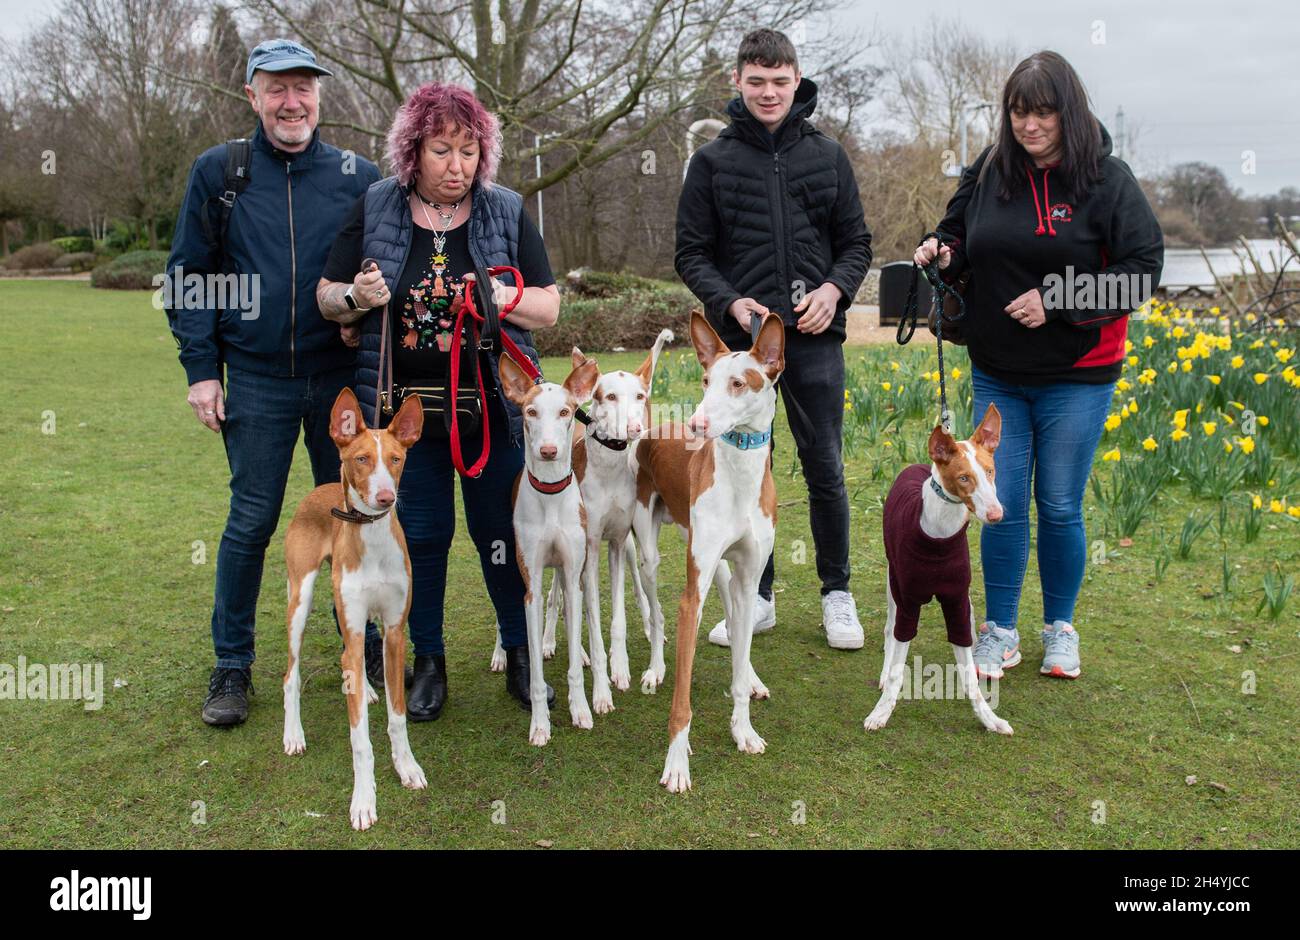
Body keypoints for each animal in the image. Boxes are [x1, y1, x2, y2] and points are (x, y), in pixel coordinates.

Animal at [283, 390, 426, 832]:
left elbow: (398, 717)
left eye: (396, 458)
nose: (386, 498)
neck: (372, 536)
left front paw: (407, 767)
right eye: (361, 458)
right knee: (291, 675)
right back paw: (293, 734)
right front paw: (363, 799)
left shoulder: (395, 632)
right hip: (299, 600)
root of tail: (318, 490)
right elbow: (359, 739)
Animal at [499, 348, 600, 748]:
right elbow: (537, 675)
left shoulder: (572, 570)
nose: (548, 451)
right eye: (530, 412)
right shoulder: (532, 585)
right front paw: (540, 723)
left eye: (565, 412)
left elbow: (572, 655)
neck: (551, 494)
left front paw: (581, 709)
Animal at [631, 312, 780, 790]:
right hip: (651, 555)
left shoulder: (749, 579)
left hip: (722, 570)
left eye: (738, 383)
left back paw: (750, 677)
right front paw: (677, 762)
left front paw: (743, 728)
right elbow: (682, 696)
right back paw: (655, 668)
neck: (740, 477)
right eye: (705, 380)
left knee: (734, 619)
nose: (696, 424)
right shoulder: (691, 595)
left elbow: (741, 643)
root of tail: (653, 428)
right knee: (657, 614)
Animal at [863, 405, 1013, 733]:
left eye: (990, 471)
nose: (996, 515)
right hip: (893, 584)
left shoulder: (956, 601)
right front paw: (881, 712)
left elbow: (970, 677)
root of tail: (916, 465)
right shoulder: (908, 603)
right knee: (889, 630)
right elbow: (896, 667)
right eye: (964, 478)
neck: (940, 536)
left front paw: (989, 719)